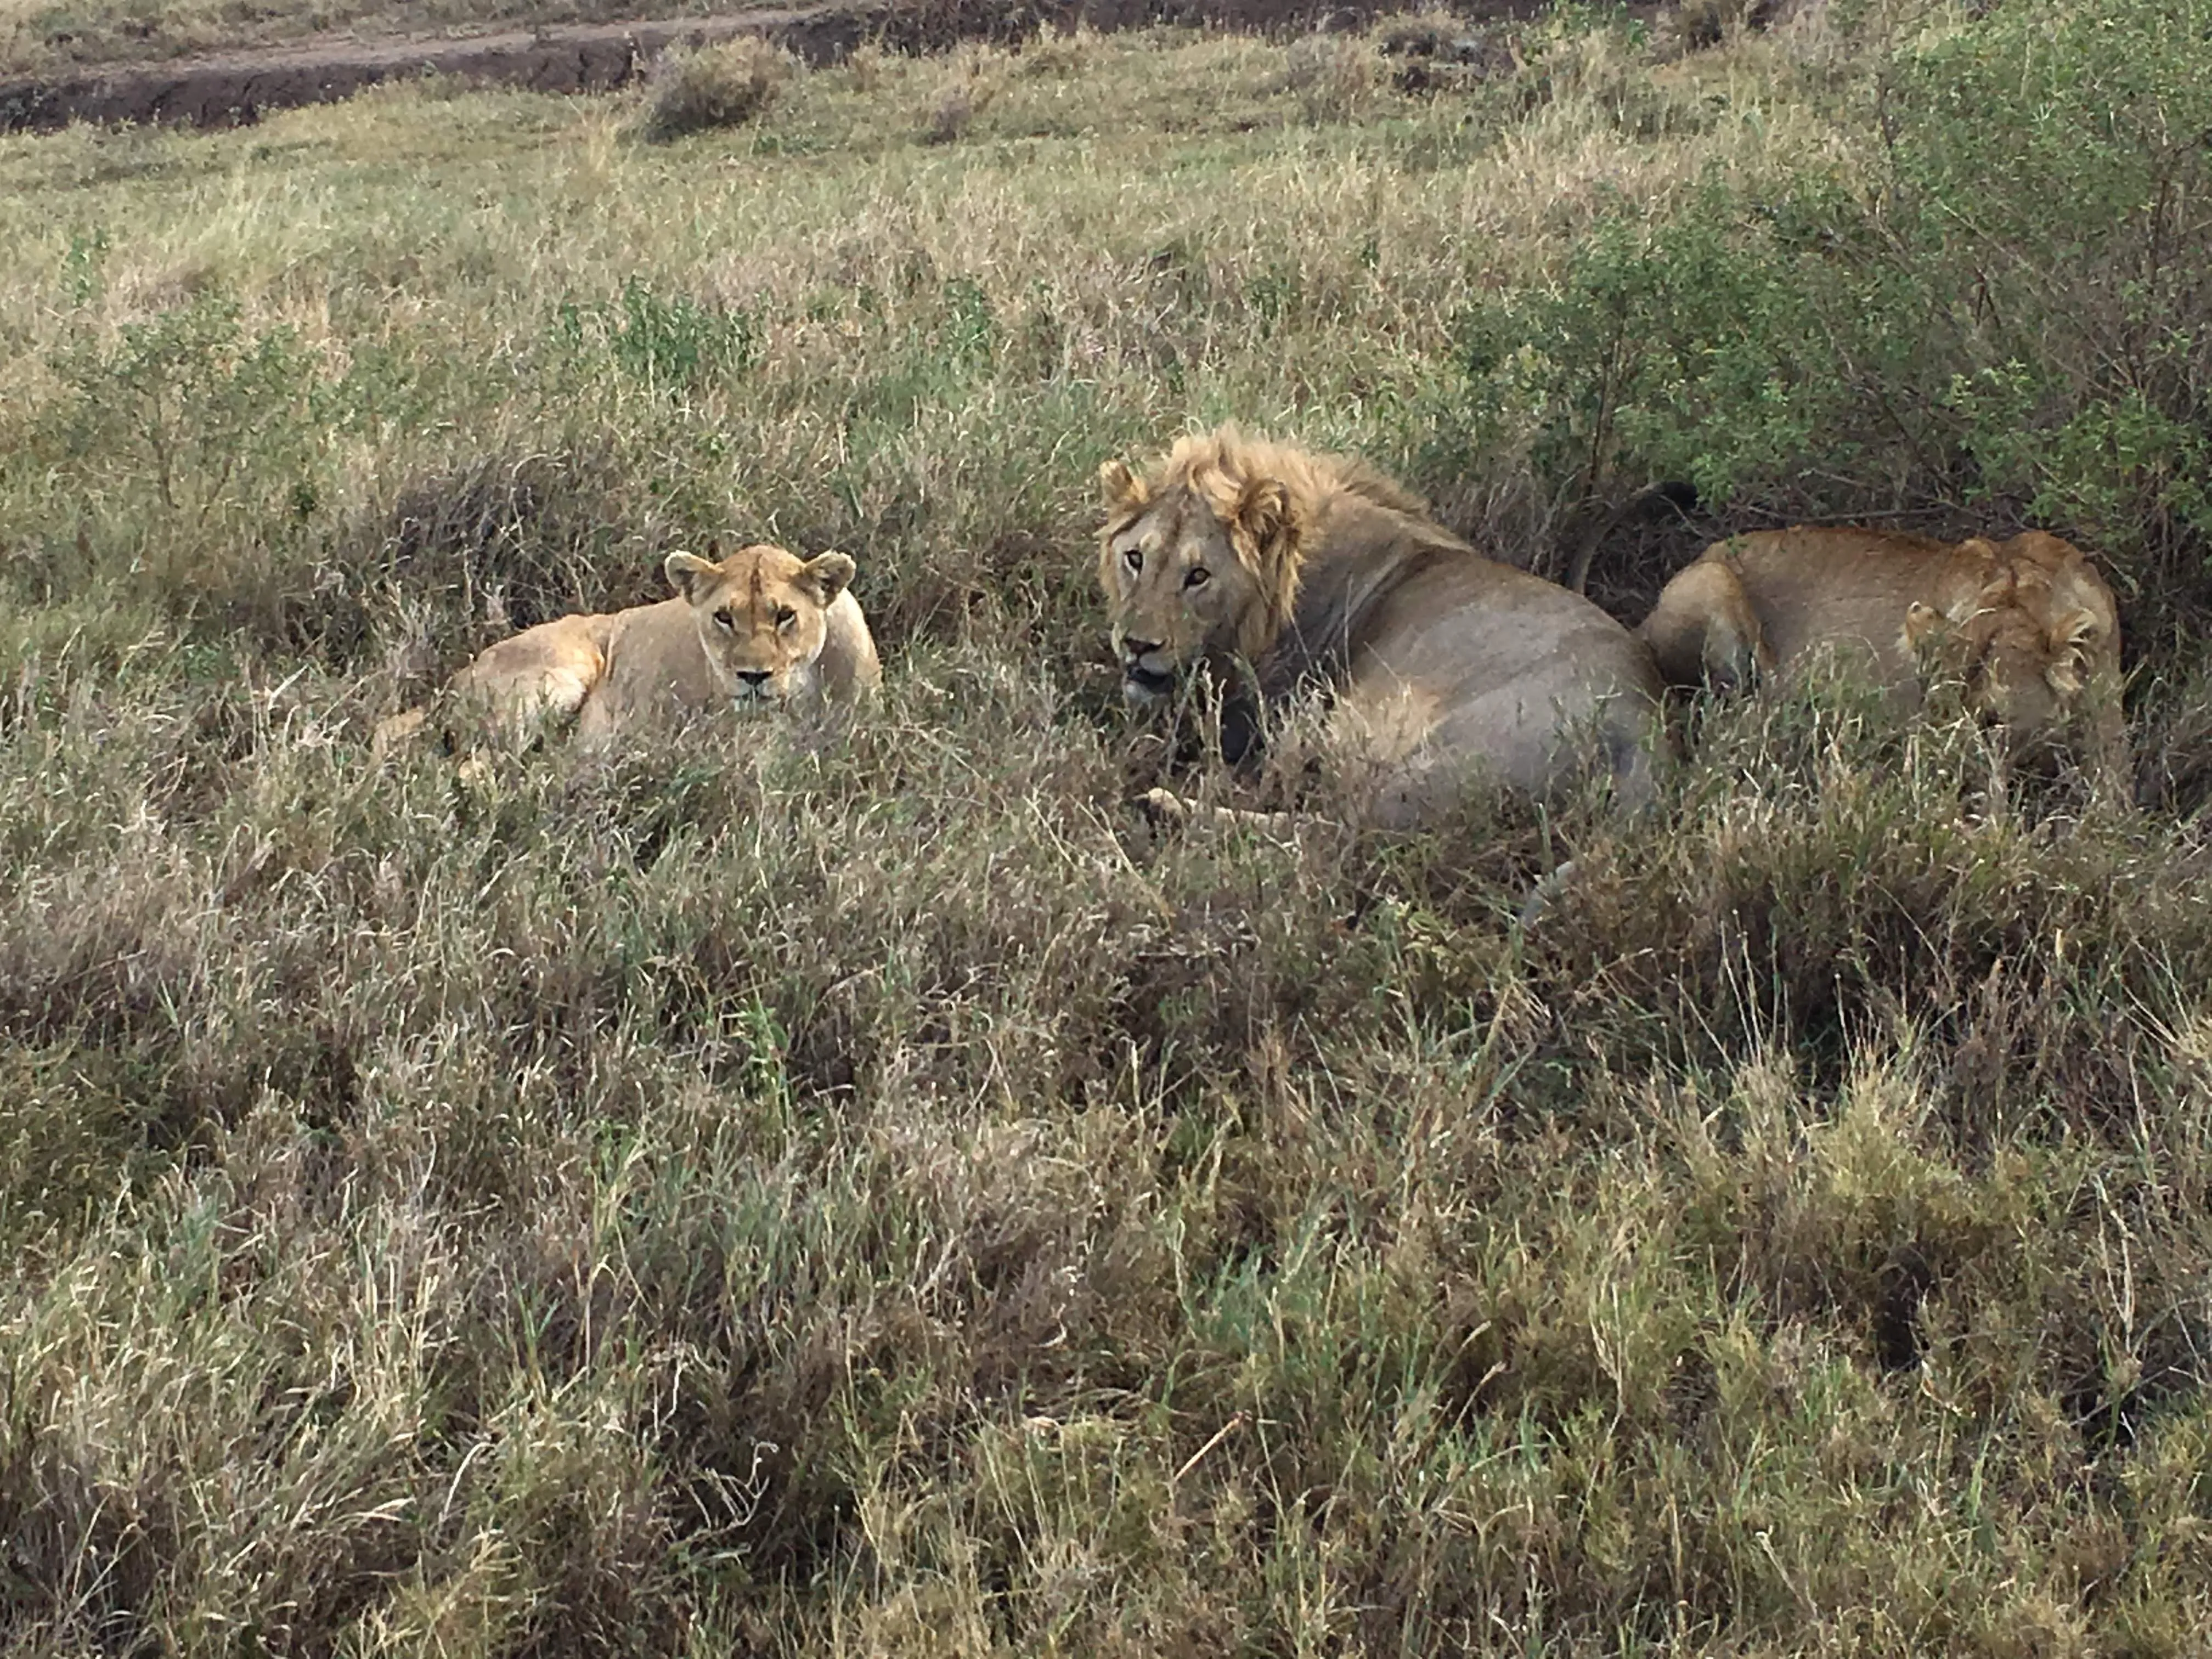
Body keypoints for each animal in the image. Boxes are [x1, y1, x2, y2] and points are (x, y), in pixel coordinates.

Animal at [1098, 426, 1667, 830]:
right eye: (1135, 559)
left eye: (1198, 576)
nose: (1137, 646)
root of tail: (1648, 730)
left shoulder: (1257, 720)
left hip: (1433, 767)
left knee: (1334, 837)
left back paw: (1163, 808)